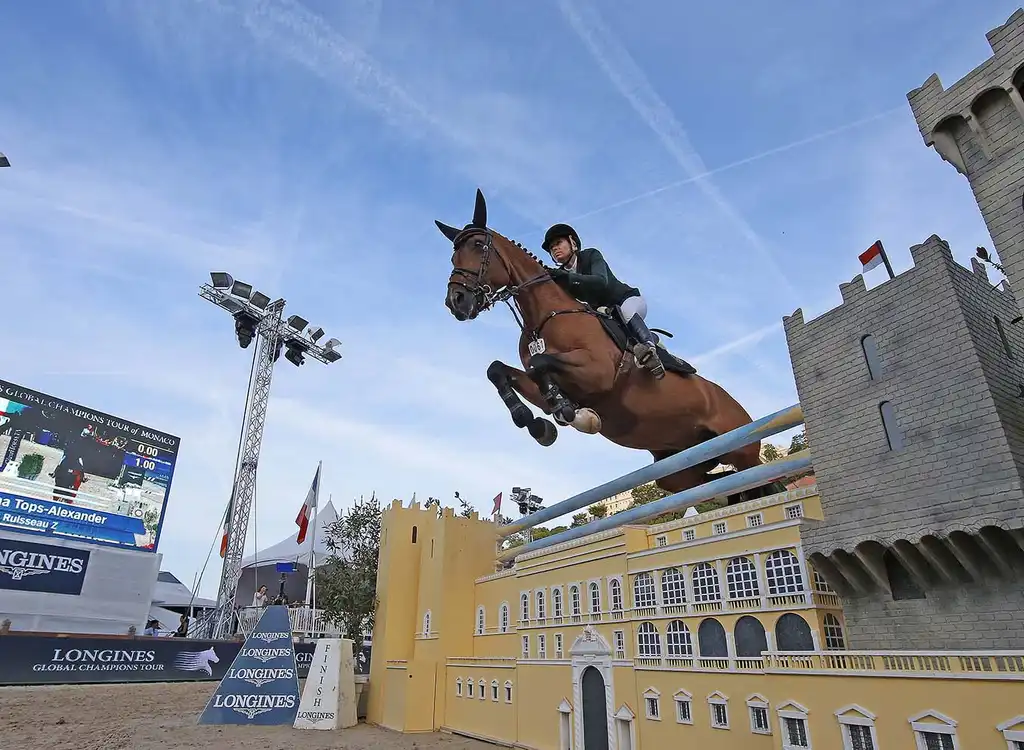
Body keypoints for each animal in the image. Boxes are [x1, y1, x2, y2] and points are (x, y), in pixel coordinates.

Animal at [436, 190, 778, 500]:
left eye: (478, 246)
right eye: (452, 256)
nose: (456, 302)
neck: (543, 316)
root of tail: (738, 406)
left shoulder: (597, 373)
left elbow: (539, 364)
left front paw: (572, 414)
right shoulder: (545, 384)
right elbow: (499, 371)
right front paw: (537, 424)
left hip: (742, 450)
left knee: (756, 477)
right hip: (679, 467)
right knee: (713, 484)